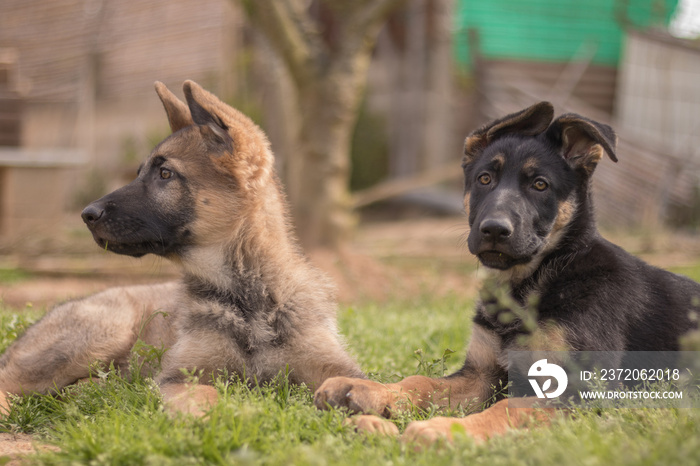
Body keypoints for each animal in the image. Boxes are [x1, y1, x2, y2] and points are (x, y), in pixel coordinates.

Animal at [0, 80, 364, 416]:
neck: (248, 298)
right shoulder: (181, 377)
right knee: (10, 383)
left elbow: (358, 382)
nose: (86, 214)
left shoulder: (335, 367)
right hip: (101, 333)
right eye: (140, 173)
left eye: (165, 173)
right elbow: (208, 396)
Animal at [318, 102, 700, 444]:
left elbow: (508, 408)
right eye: (485, 179)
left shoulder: (581, 389)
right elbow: (422, 382)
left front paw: (444, 429)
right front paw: (368, 389)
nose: (494, 230)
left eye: (540, 185)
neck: (537, 279)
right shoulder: (483, 374)